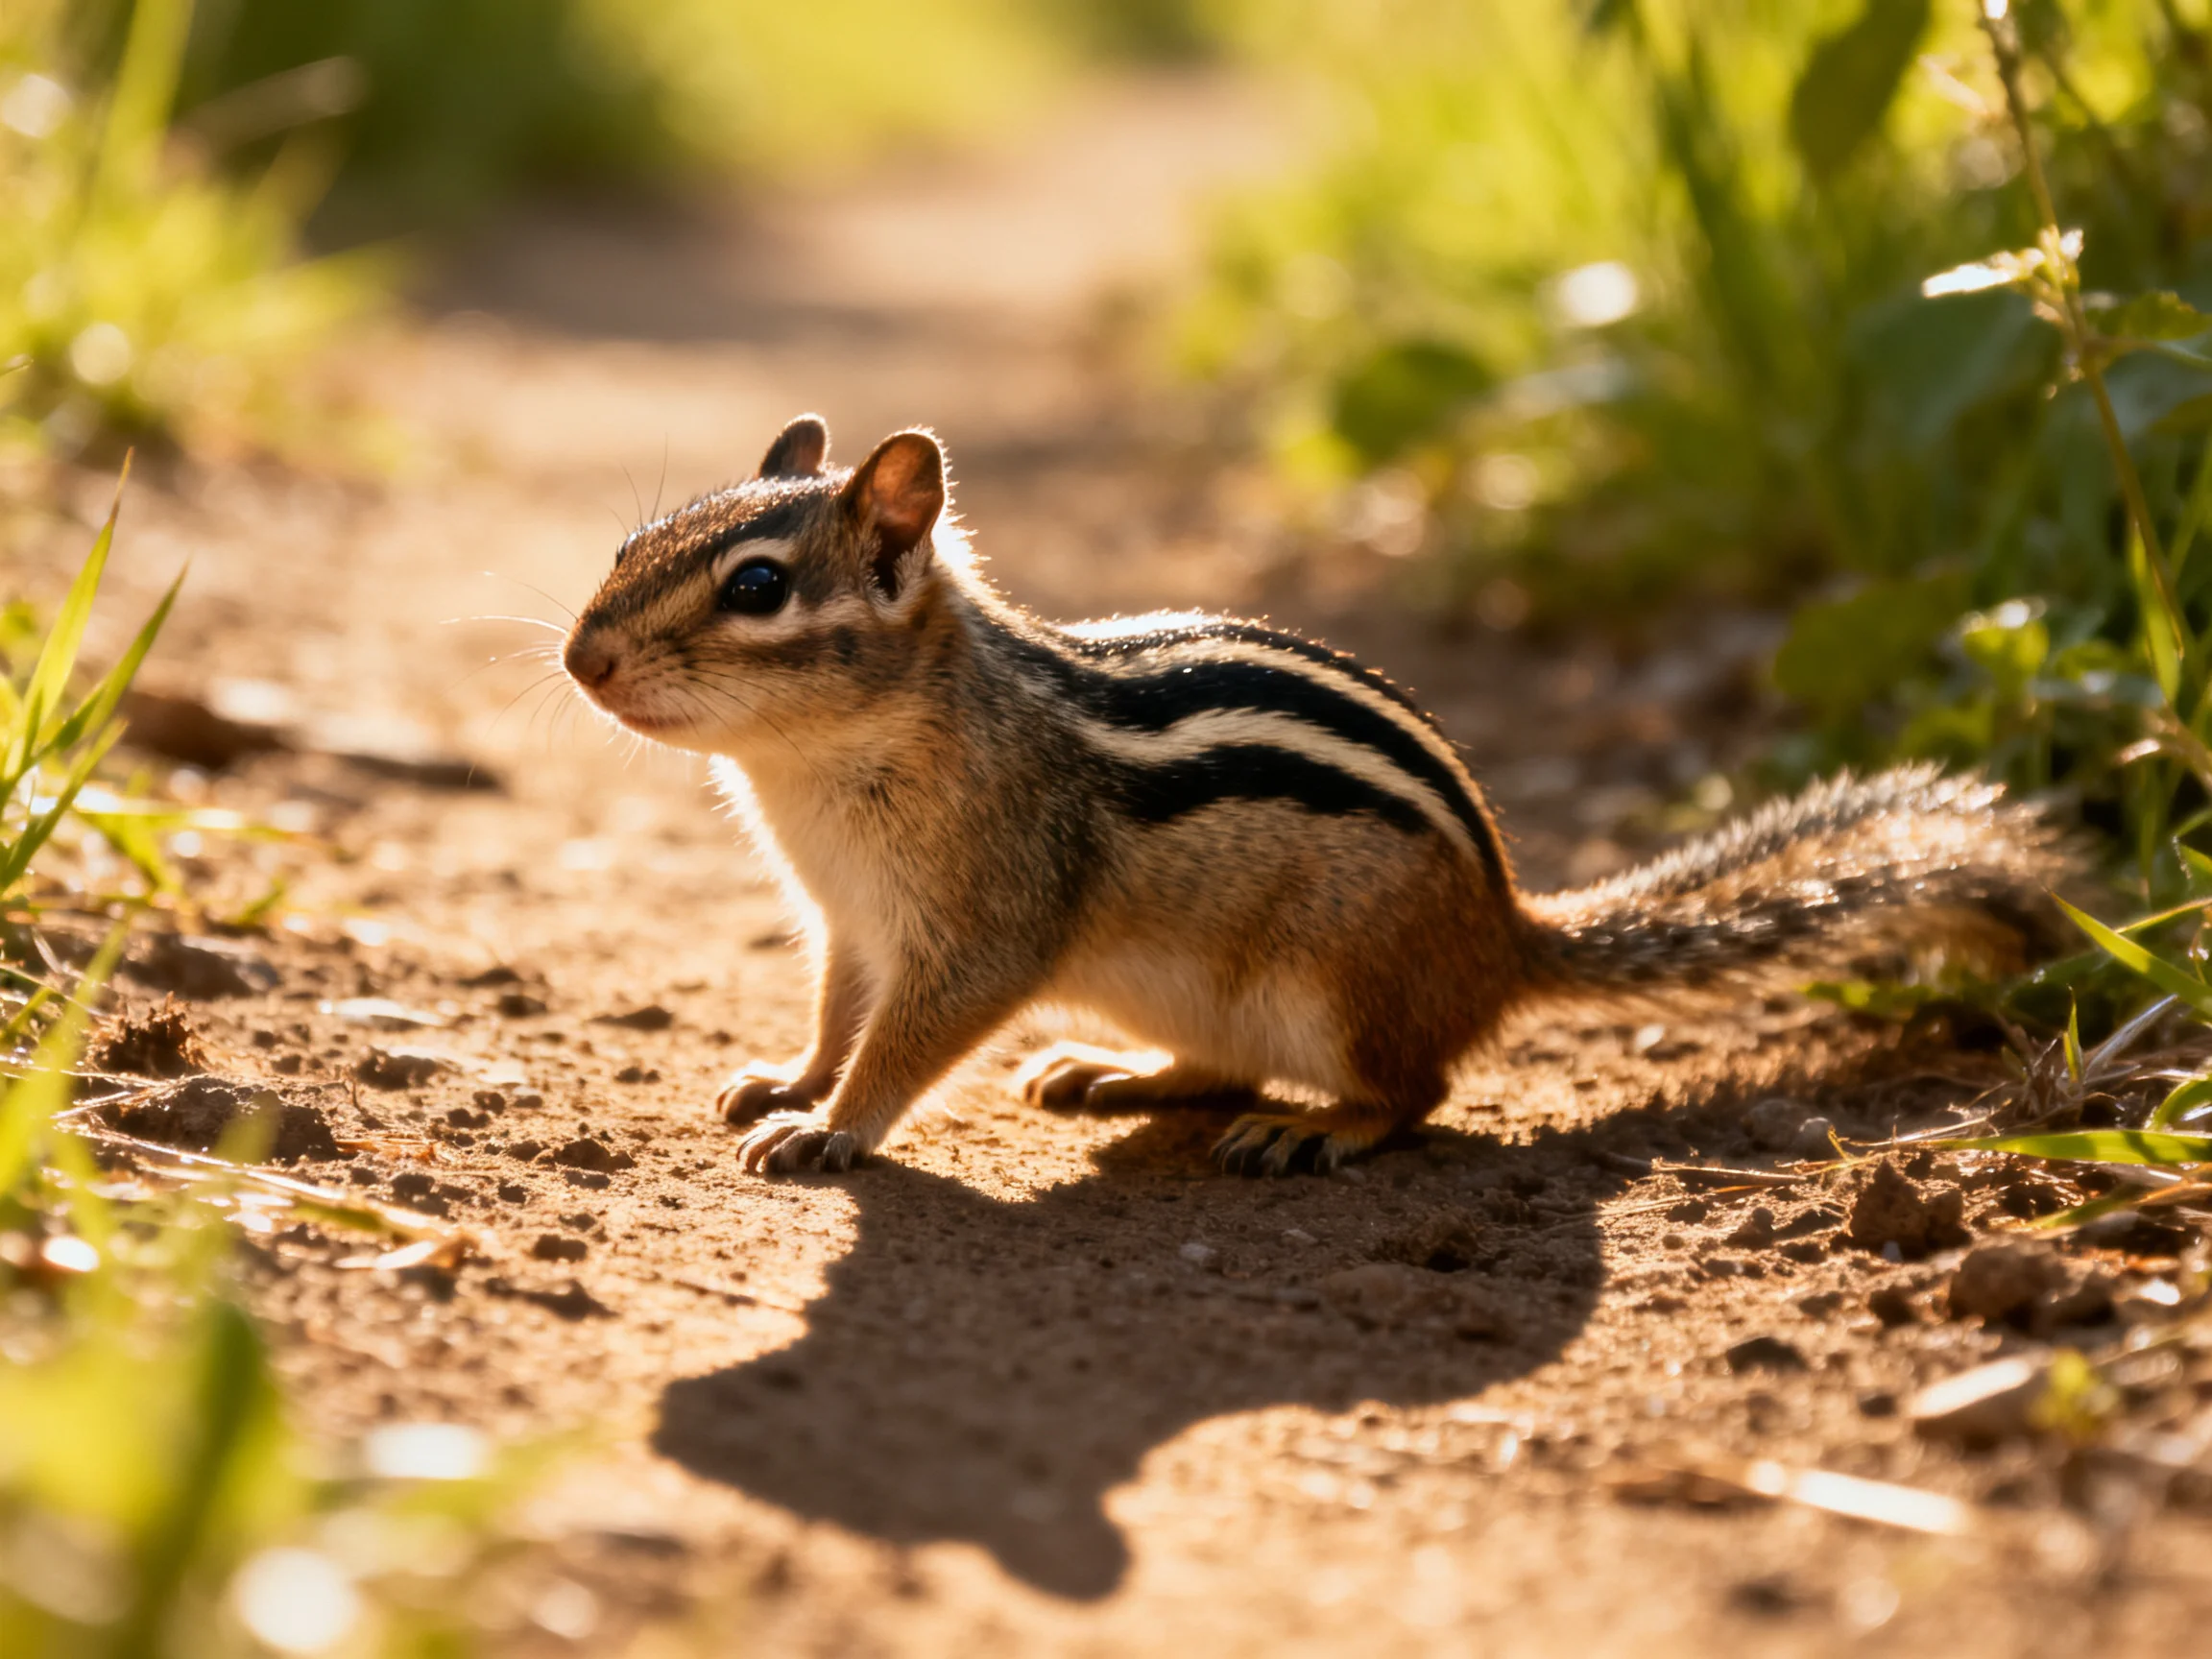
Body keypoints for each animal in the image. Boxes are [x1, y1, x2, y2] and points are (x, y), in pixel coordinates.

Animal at [563, 415, 2068, 1178]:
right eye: (631, 545)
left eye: (759, 586)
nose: (583, 658)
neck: (816, 767)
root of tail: (1506, 933)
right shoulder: (849, 924)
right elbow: (836, 1015)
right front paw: (788, 1080)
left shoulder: (978, 920)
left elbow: (909, 1043)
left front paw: (831, 1128)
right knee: (1222, 1060)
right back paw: (1117, 1075)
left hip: (1338, 987)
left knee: (1418, 1089)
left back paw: (1310, 1128)